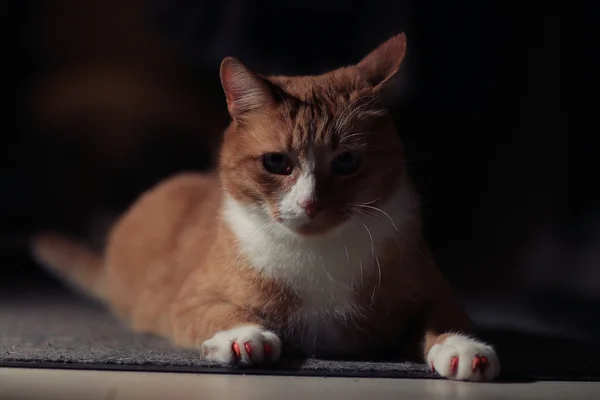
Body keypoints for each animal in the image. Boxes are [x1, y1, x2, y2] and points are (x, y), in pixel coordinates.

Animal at [32, 34, 502, 382]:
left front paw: (462, 347)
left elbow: (443, 316)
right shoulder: (187, 300)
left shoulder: (432, 291)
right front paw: (245, 336)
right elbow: (220, 310)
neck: (318, 253)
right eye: (277, 163)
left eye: (346, 162)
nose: (310, 202)